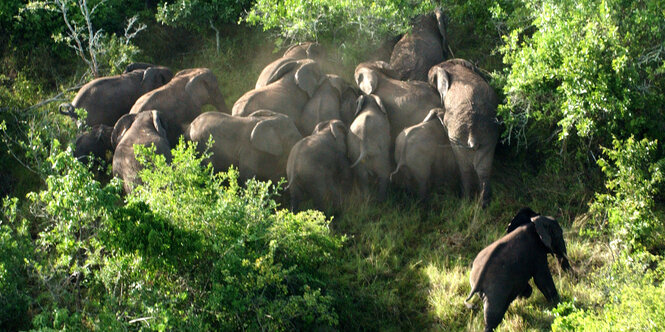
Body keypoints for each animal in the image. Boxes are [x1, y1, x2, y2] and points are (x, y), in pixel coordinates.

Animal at [426, 58, 498, 206]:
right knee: (483, 171)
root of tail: (472, 136)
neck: (451, 66)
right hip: (488, 139)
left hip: (457, 139)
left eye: (430, 78)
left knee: (465, 169)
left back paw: (465, 201)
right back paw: (482, 205)